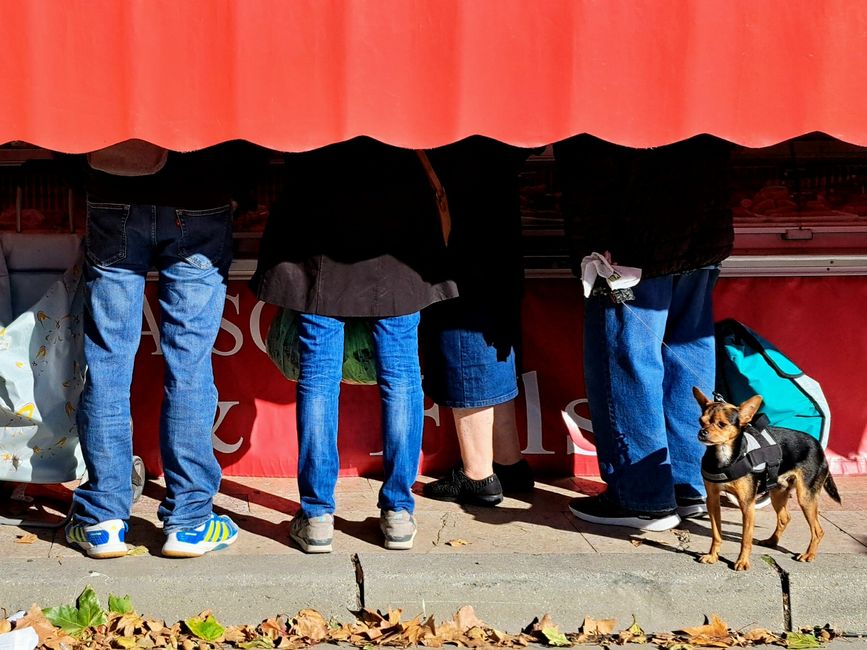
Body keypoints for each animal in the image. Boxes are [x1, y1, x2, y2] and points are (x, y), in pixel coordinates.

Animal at [692, 384, 840, 568]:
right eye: (701, 421)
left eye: (721, 424)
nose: (702, 432)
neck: (725, 457)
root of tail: (819, 448)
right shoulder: (712, 500)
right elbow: (716, 534)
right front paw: (712, 556)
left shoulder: (747, 504)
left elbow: (746, 538)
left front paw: (742, 562)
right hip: (778, 493)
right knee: (784, 518)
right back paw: (771, 541)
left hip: (806, 497)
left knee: (818, 531)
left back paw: (808, 554)